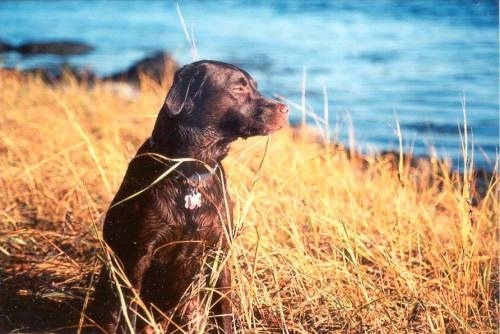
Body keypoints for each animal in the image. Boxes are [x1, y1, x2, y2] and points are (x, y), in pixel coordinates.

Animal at [88, 58, 288, 332]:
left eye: (255, 87)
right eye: (238, 88)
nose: (286, 108)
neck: (191, 171)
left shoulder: (220, 252)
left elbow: (224, 310)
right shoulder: (139, 255)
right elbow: (132, 312)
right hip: (109, 295)